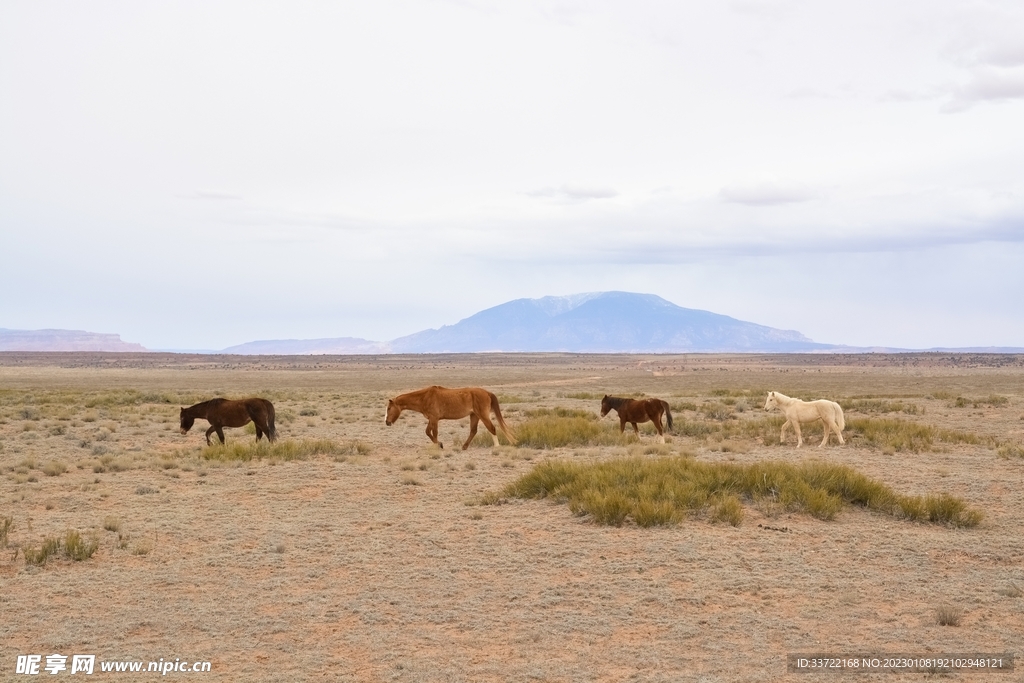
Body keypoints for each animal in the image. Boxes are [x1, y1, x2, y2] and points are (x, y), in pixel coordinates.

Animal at [385, 386, 516, 450]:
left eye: (389, 408)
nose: (387, 422)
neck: (425, 397)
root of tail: (487, 393)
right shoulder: (431, 419)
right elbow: (428, 432)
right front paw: (439, 444)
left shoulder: (434, 418)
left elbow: (434, 433)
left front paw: (439, 445)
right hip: (474, 415)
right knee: (473, 431)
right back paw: (464, 447)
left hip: (482, 415)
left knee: (492, 428)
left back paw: (497, 447)